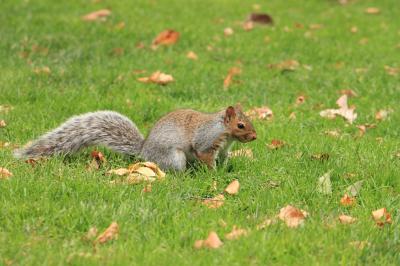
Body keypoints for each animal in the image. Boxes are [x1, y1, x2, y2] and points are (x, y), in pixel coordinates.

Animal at [14, 104, 256, 170]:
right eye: (241, 125)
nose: (254, 136)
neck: (224, 133)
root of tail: (144, 151)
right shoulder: (206, 142)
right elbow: (205, 157)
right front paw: (212, 174)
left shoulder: (223, 149)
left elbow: (223, 159)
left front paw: (225, 170)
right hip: (173, 158)